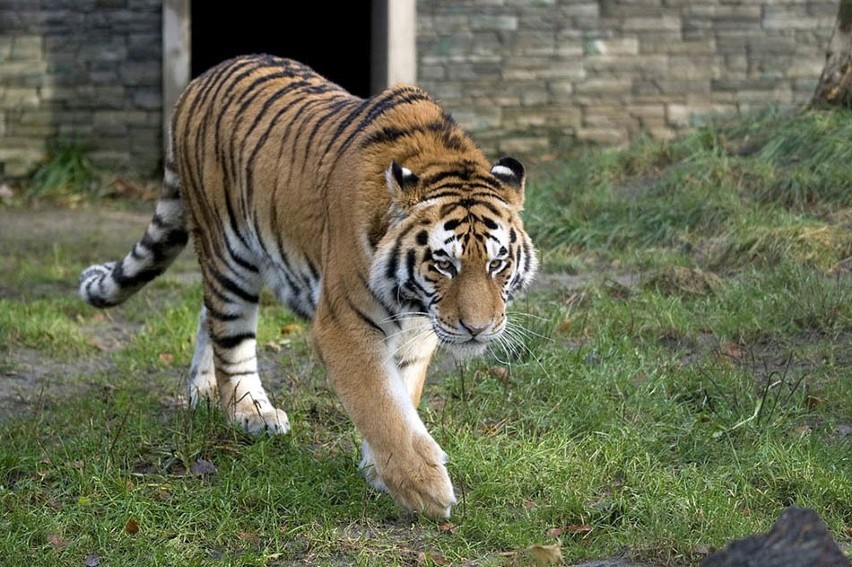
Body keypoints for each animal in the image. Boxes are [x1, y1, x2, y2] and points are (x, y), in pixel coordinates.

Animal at [76, 53, 536, 520]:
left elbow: (402, 396)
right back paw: (250, 411)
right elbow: (381, 405)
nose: (478, 329)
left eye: (497, 263)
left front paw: (380, 470)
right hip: (228, 254)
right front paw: (425, 488)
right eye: (444, 264)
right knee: (230, 337)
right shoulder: (345, 325)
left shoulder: (417, 332)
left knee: (209, 318)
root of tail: (200, 78)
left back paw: (204, 390)